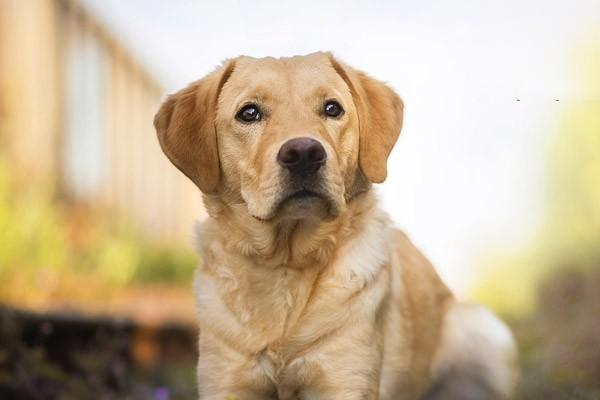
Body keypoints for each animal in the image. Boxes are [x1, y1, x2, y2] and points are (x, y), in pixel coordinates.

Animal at [154, 53, 516, 400]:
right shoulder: (225, 381)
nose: (304, 153)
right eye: (249, 113)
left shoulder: (345, 381)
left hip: (484, 329)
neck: (286, 266)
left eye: (332, 108)